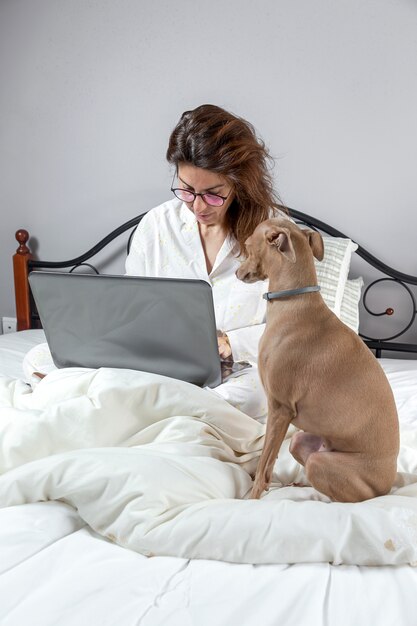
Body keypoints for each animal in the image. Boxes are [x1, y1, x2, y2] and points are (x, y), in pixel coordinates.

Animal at [236, 217, 398, 500]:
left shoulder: (280, 409)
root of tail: (386, 488)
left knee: (339, 499)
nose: (236, 272)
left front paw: (252, 497)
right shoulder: (280, 416)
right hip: (301, 442)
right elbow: (269, 463)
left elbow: (265, 457)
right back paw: (296, 485)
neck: (293, 303)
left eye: (246, 244)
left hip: (320, 463)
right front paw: (262, 483)